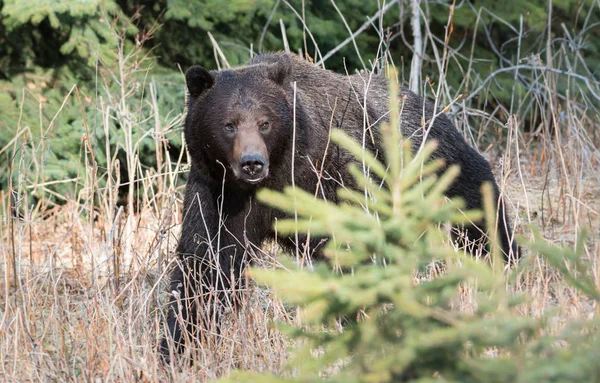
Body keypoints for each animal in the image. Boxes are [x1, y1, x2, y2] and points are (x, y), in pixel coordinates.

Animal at [161, 52, 520, 362]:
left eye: (264, 122)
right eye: (229, 124)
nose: (252, 162)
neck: (279, 174)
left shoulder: (334, 176)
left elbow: (352, 248)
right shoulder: (219, 195)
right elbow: (205, 265)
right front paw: (179, 346)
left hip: (431, 159)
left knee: (476, 208)